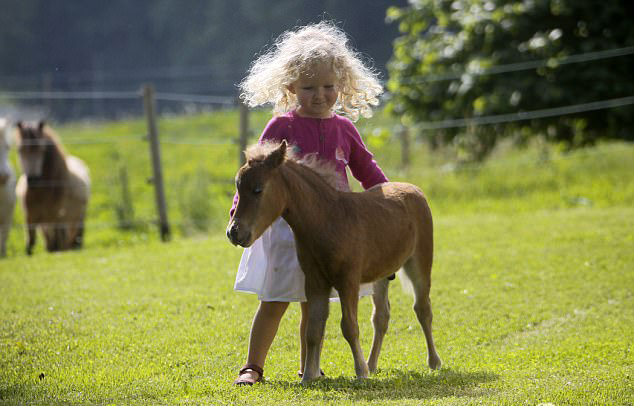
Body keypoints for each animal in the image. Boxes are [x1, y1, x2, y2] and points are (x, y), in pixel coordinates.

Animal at [15, 120, 90, 255]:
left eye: (42, 150)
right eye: (20, 150)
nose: (33, 180)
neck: (42, 192)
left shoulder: (56, 218)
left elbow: (58, 246)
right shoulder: (30, 217)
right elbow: (30, 245)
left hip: (76, 220)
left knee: (71, 241)